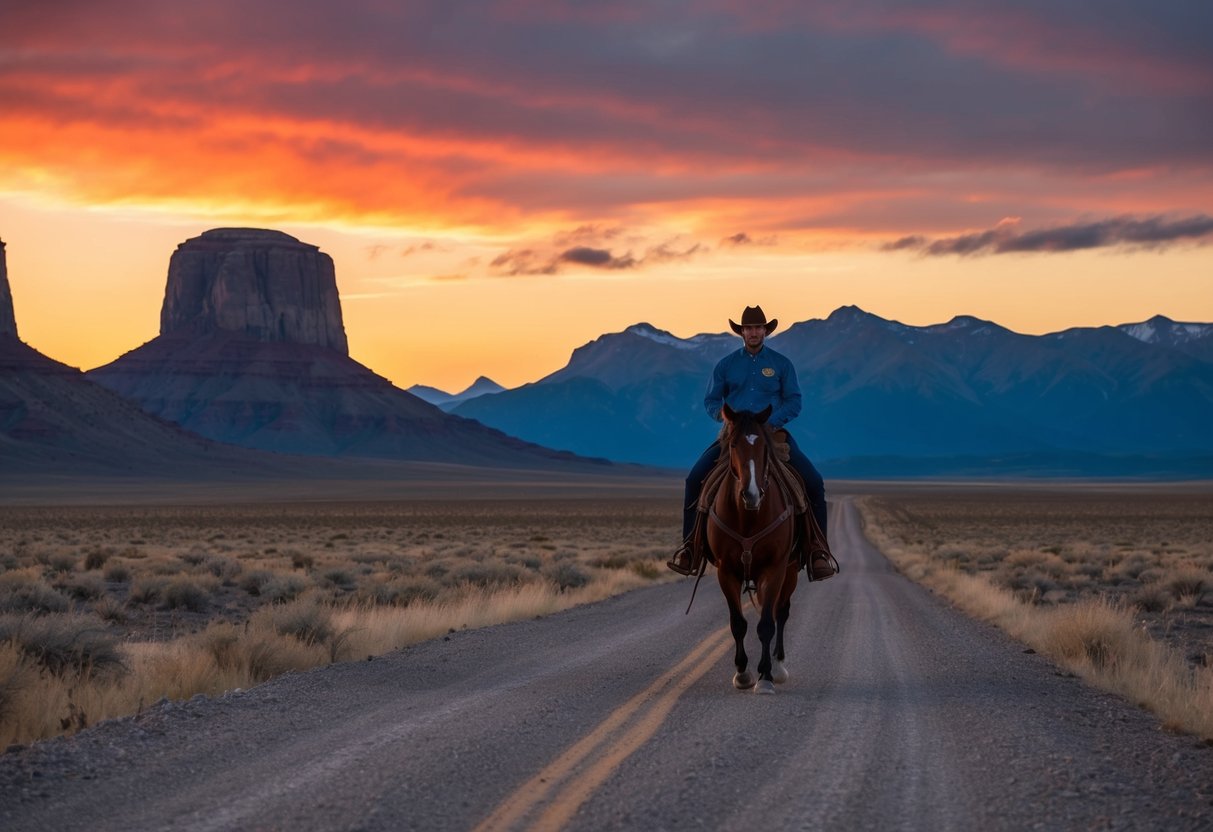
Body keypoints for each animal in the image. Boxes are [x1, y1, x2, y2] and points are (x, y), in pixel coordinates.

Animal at [708, 405, 800, 698]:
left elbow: (767, 624)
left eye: (763, 447)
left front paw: (766, 676)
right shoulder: (726, 571)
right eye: (733, 444)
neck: (748, 516)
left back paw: (779, 667)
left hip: (791, 570)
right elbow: (738, 623)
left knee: (781, 612)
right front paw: (742, 673)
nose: (751, 494)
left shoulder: (775, 568)